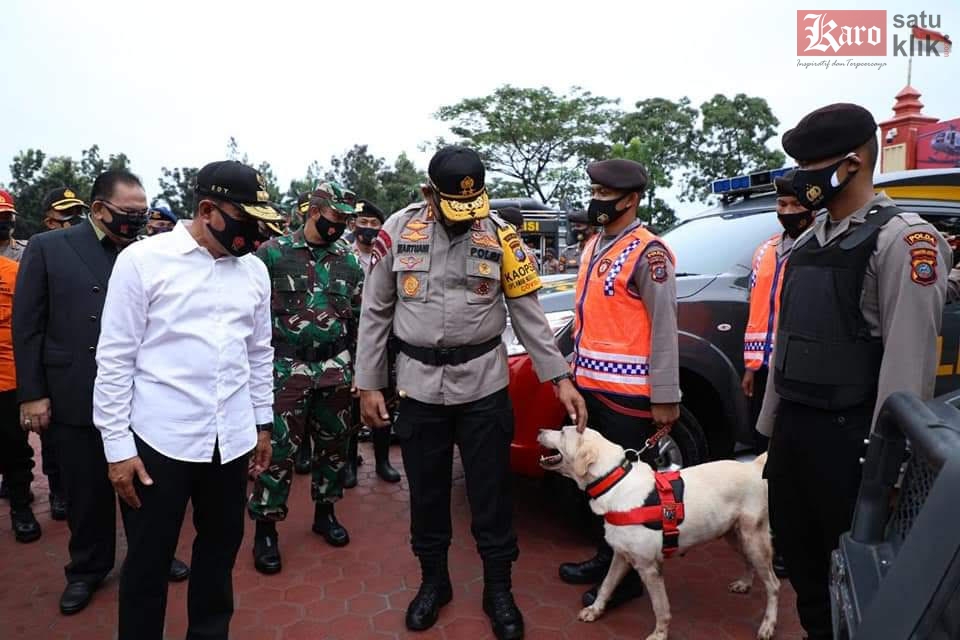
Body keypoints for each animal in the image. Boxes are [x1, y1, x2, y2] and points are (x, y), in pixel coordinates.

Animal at [536, 424, 776, 640]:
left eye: (563, 431)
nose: (539, 431)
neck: (614, 481)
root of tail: (753, 466)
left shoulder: (650, 567)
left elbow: (661, 608)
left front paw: (660, 634)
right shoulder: (621, 555)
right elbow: (606, 585)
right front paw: (595, 610)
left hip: (754, 540)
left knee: (773, 585)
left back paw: (768, 625)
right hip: (735, 536)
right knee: (748, 562)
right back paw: (745, 583)